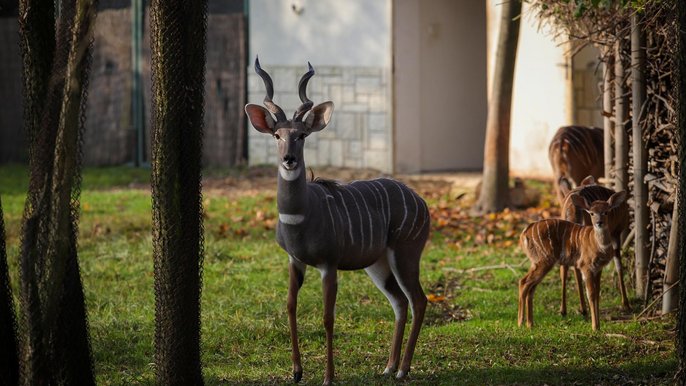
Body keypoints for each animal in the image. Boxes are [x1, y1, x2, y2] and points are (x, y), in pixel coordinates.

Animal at [246, 55, 430, 384]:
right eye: (277, 135)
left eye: (302, 135)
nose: (289, 159)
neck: (300, 217)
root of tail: (422, 202)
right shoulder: (295, 260)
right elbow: (290, 306)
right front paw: (296, 372)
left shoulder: (329, 264)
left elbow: (328, 317)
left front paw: (328, 376)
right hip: (377, 263)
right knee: (399, 302)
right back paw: (388, 366)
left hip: (406, 253)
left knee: (419, 300)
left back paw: (403, 369)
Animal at [520, 191, 628, 332]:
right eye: (592, 213)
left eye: (606, 212)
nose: (599, 223)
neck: (599, 245)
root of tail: (524, 233)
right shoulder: (585, 266)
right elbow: (591, 294)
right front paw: (595, 327)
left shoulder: (598, 268)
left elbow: (597, 294)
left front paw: (598, 326)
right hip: (543, 260)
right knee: (524, 282)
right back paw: (521, 322)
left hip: (537, 261)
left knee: (530, 286)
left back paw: (530, 324)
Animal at [560, 176, 632, 316]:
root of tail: (572, 209)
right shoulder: (615, 234)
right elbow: (618, 265)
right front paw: (625, 304)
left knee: (566, 267)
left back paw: (566, 310)